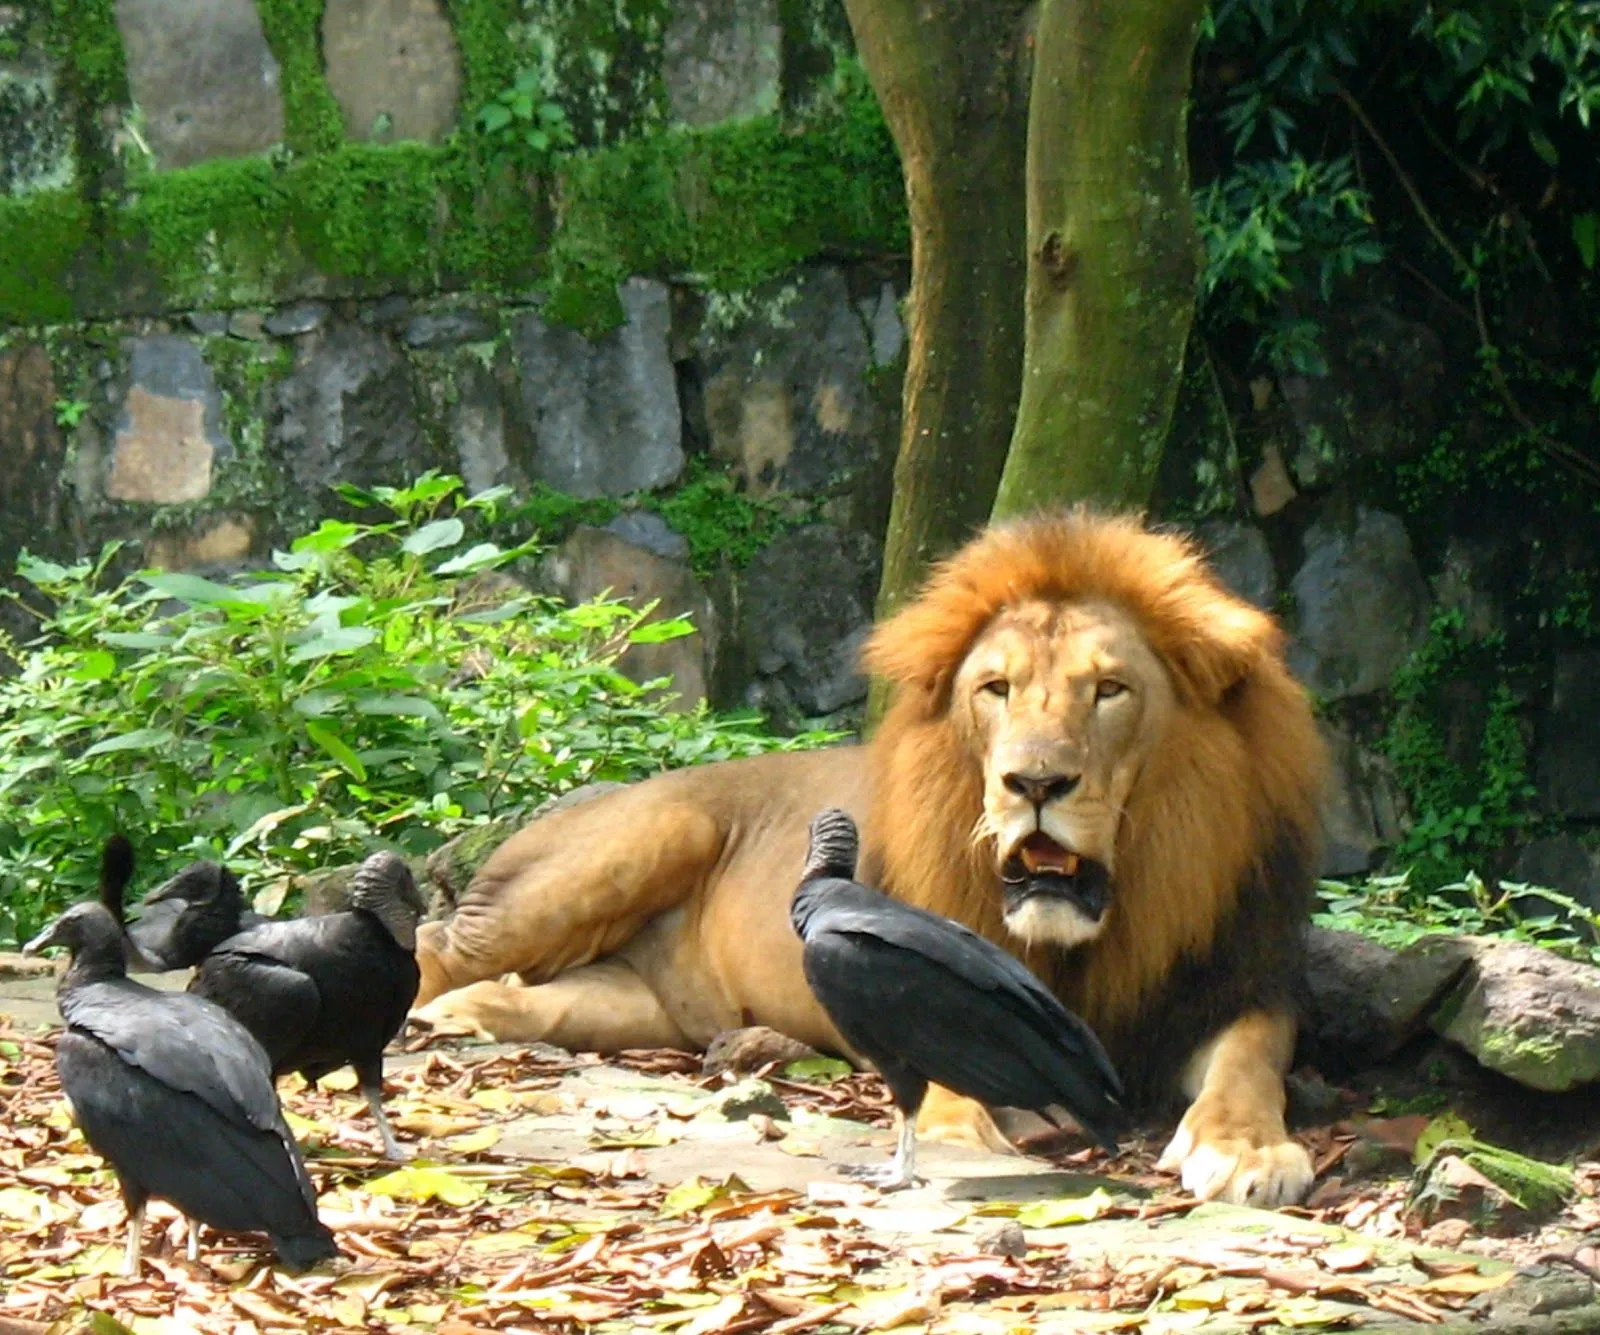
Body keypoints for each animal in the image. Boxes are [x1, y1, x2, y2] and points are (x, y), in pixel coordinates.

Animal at [412, 505, 1324, 1203]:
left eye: (1110, 690)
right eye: (995, 688)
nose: (1033, 782)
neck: (1090, 934)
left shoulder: (1234, 982)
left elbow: (1252, 1060)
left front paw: (1246, 1148)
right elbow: (946, 1079)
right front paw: (976, 1133)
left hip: (636, 1003)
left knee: (531, 993)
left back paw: (466, 1013)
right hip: (654, 834)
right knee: (435, 944)